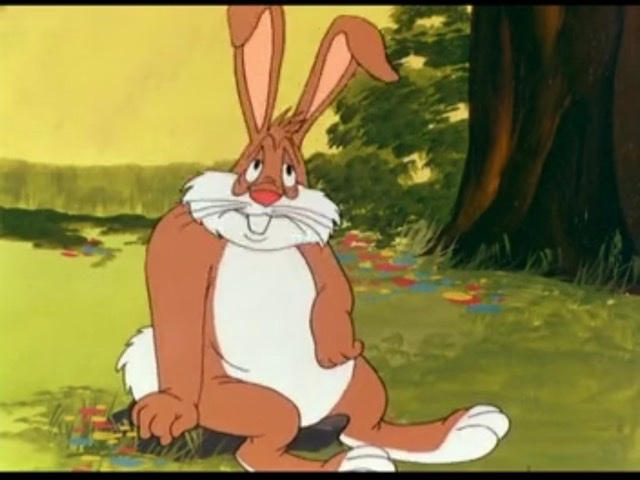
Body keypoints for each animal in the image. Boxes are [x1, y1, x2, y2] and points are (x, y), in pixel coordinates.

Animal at [116, 5, 510, 472]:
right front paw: (170, 410)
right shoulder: (183, 245)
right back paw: (354, 462)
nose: (266, 195)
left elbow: (336, 289)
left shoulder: (317, 252)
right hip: (248, 403)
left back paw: (464, 430)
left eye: (289, 172)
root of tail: (313, 418)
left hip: (360, 378)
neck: (261, 243)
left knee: (366, 423)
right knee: (262, 445)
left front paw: (334, 342)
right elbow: (177, 311)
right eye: (253, 165)